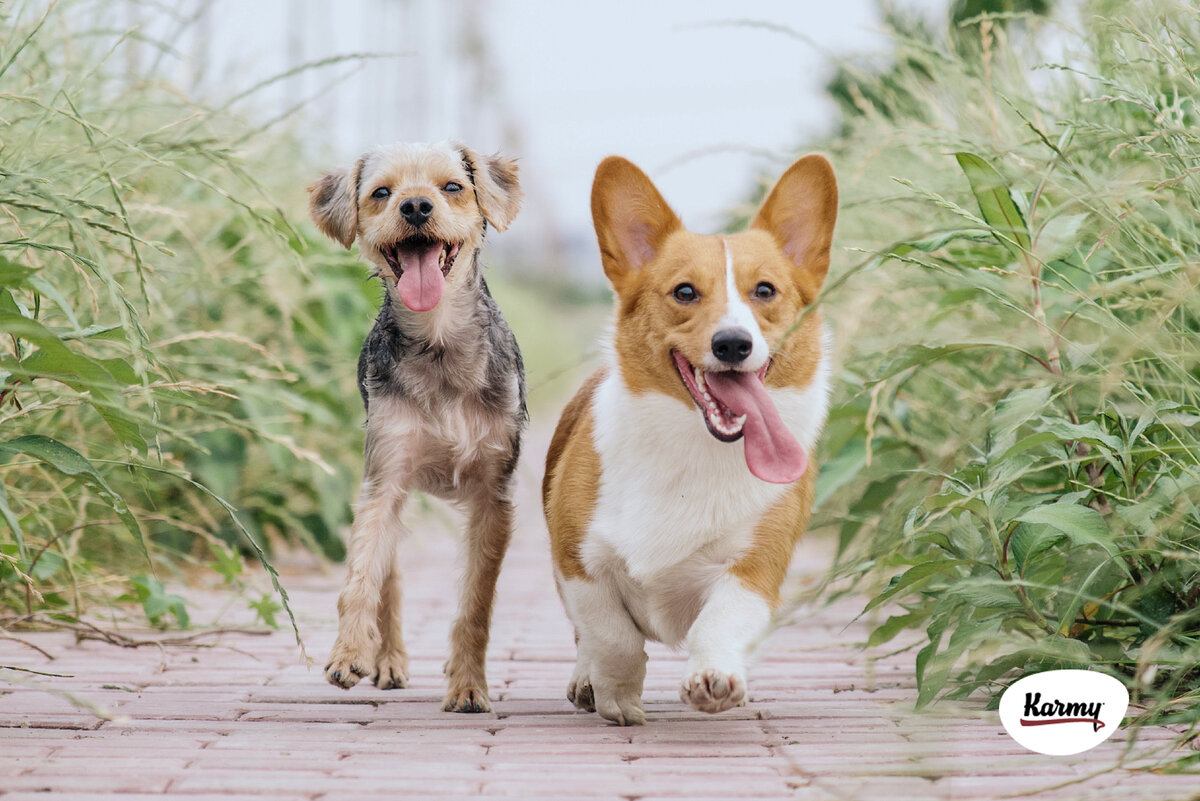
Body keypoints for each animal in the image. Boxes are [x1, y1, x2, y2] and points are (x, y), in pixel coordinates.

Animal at [312, 140, 528, 709]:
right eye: (381, 193)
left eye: (452, 187)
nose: (414, 206)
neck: (438, 340)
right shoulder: (384, 477)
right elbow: (361, 577)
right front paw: (349, 652)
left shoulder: (493, 497)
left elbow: (477, 602)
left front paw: (468, 686)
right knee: (388, 578)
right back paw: (386, 660)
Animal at [542, 153, 835, 724]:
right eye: (684, 292)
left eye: (765, 291)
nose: (733, 344)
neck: (696, 447)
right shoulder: (578, 564)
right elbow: (613, 638)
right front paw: (617, 697)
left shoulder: (754, 571)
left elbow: (719, 621)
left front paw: (714, 678)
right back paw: (586, 682)